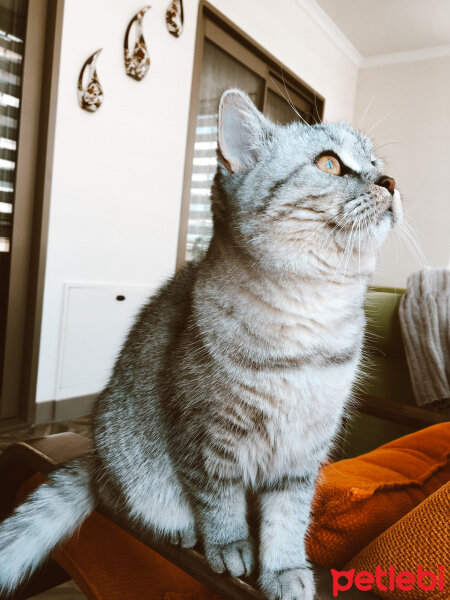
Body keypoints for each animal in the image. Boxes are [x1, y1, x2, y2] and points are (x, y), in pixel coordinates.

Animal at [0, 89, 400, 600]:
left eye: (376, 162)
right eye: (329, 163)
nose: (390, 180)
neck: (312, 321)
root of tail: (96, 463)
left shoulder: (303, 449)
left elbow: (288, 517)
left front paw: (285, 569)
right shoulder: (206, 434)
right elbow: (219, 500)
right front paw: (229, 546)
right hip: (131, 468)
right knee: (131, 499)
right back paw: (182, 530)